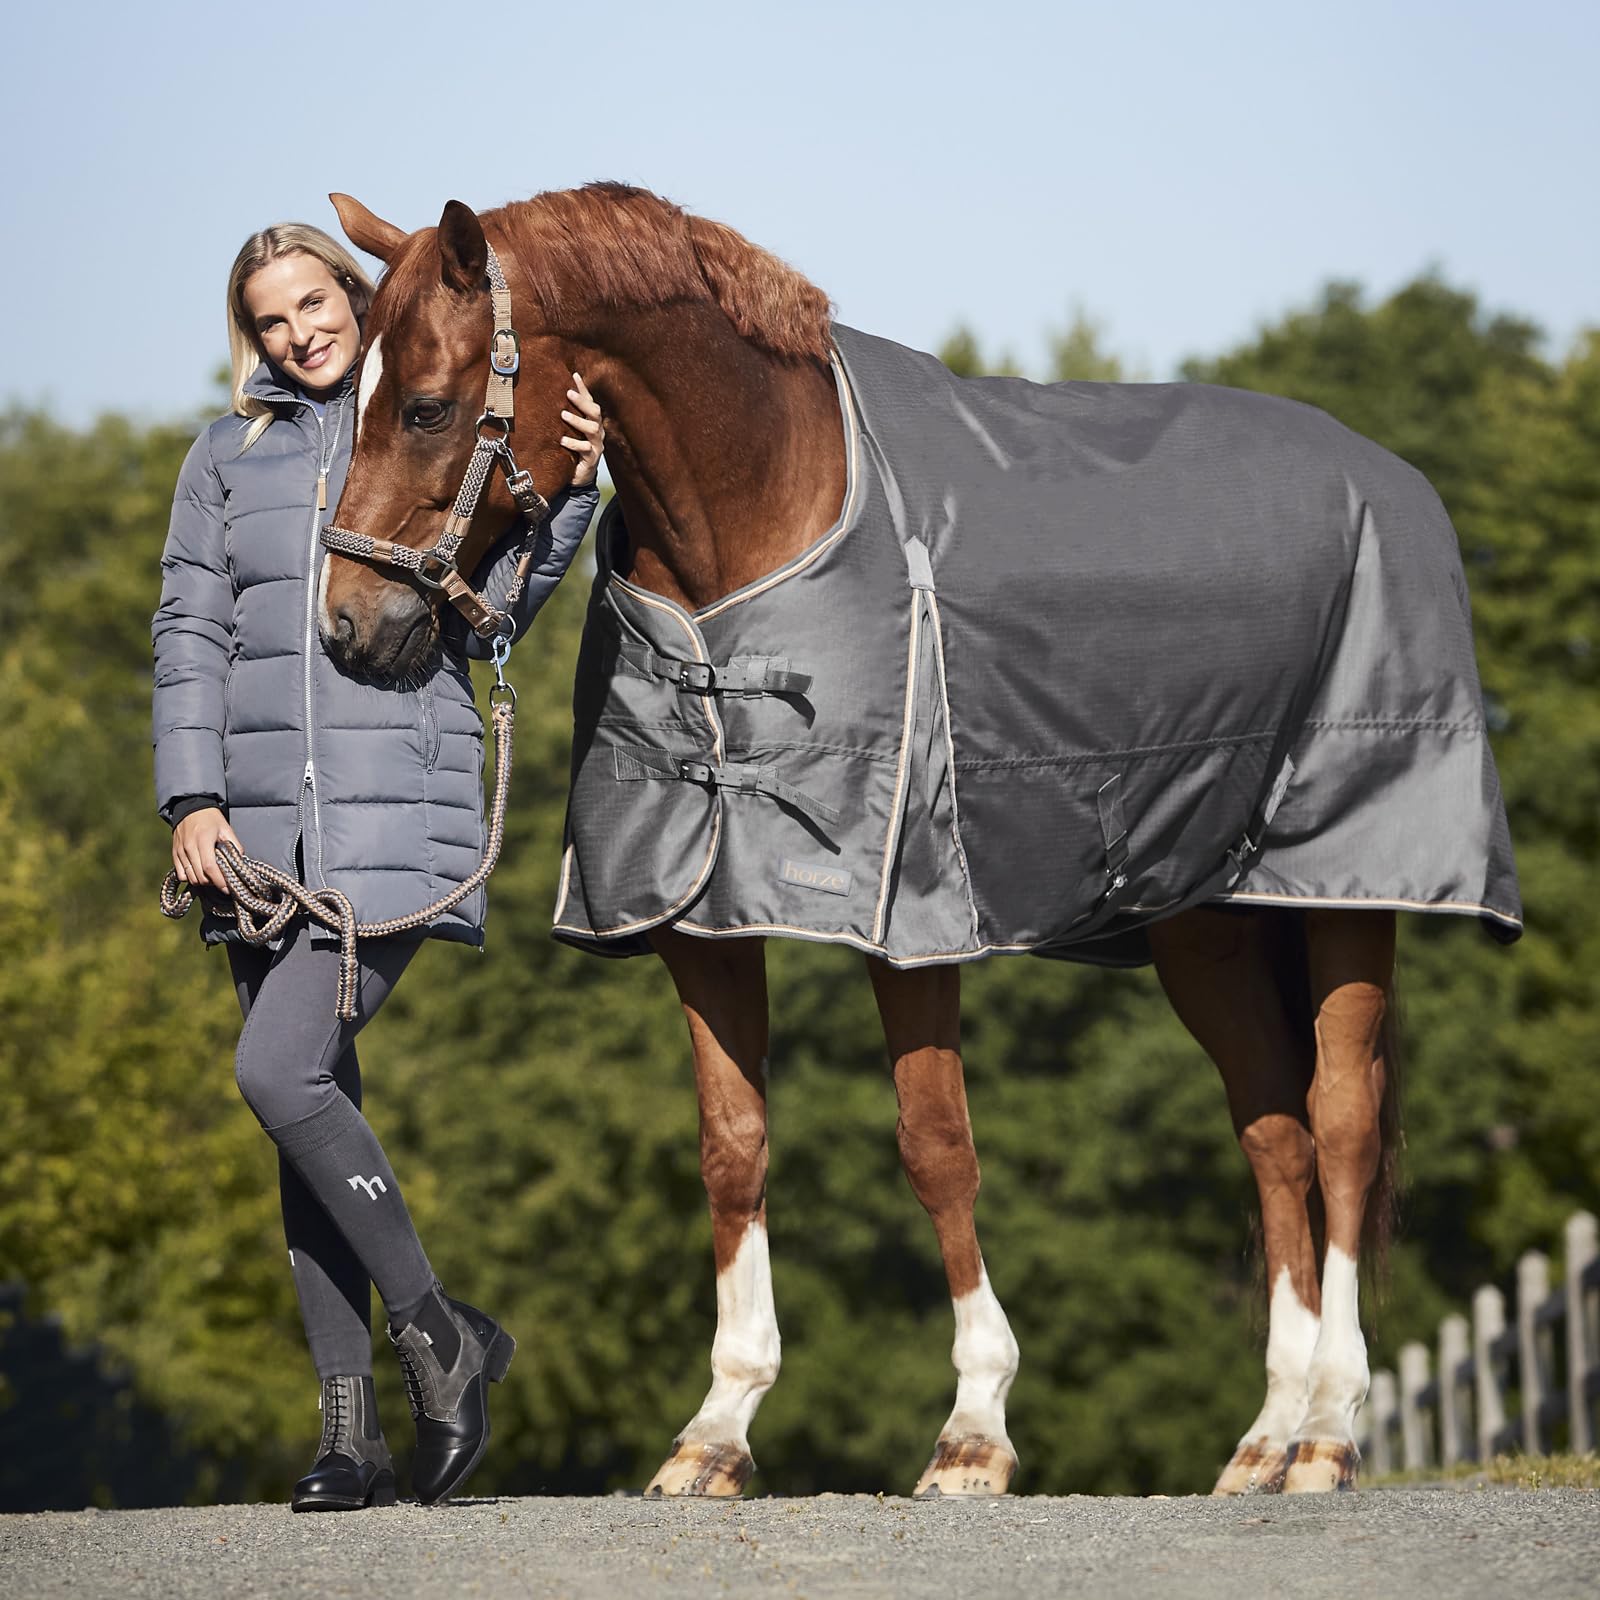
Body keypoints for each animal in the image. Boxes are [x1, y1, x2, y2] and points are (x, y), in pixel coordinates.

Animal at [316, 183, 1518, 1497]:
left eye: (426, 405)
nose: (345, 629)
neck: (767, 514)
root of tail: (1389, 477)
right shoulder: (699, 919)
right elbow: (732, 1146)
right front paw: (717, 1428)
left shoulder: (913, 919)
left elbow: (935, 1143)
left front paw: (974, 1429)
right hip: (1206, 922)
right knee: (1274, 1133)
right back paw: (1263, 1435)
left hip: (1347, 893)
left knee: (1339, 1124)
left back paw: (1327, 1428)